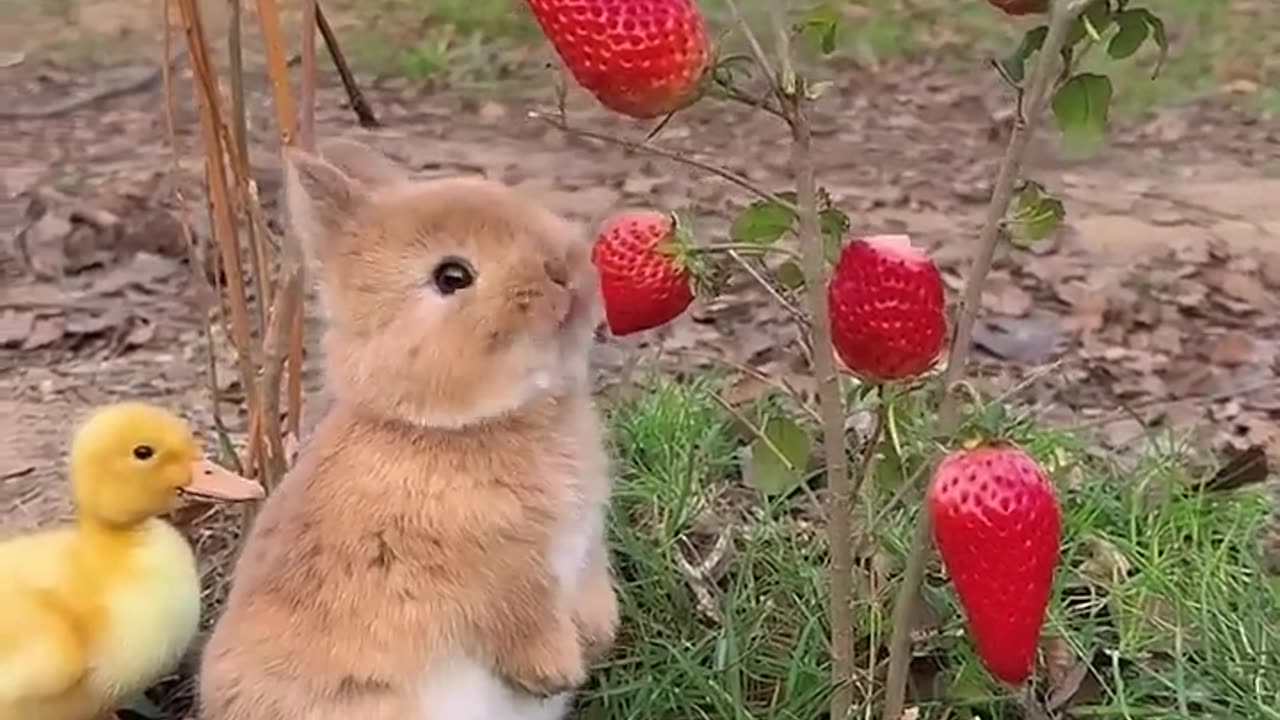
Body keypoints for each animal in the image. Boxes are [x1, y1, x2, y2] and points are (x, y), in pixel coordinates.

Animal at [197, 135, 616, 717]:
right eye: (452, 276)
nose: (568, 272)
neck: (450, 428)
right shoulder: (499, 577)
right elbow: (521, 619)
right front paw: (557, 672)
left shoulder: (585, 545)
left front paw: (598, 637)